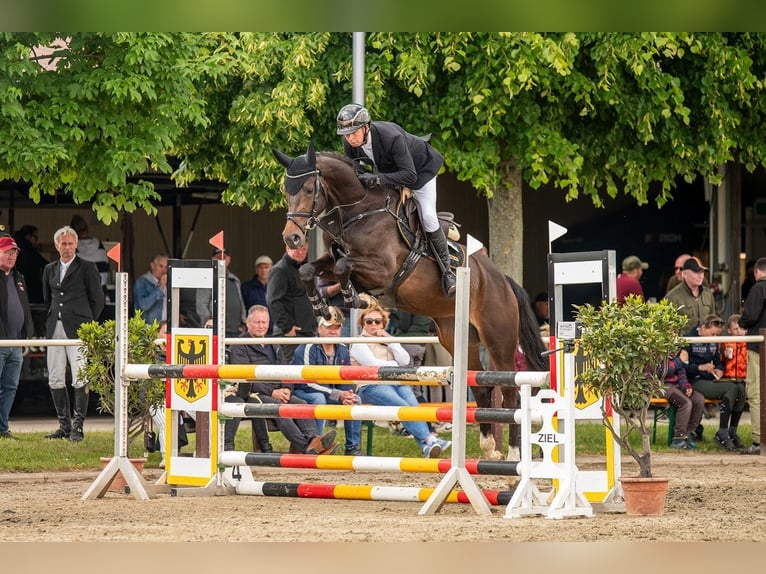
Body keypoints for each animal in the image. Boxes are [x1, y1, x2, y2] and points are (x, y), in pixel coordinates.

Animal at [272, 143, 547, 460]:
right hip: (457, 337)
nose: (291, 239)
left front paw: (351, 296)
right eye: (285, 190)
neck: (360, 211)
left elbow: (343, 267)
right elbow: (309, 270)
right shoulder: (332, 261)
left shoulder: (382, 269)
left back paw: (512, 455)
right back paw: (490, 450)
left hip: (498, 338)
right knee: (479, 387)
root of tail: (502, 279)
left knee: (511, 390)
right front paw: (324, 308)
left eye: (307, 189)